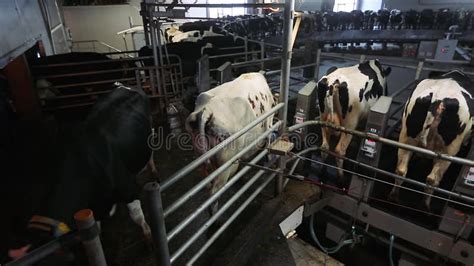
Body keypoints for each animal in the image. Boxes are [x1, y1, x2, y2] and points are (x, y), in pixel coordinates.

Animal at [6, 84, 157, 262]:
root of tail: (124, 86)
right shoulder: (91, 209)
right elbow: (96, 230)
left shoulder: (128, 189)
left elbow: (137, 216)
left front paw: (149, 239)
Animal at [185, 72, 274, 214]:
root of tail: (206, 111)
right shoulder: (269, 123)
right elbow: (268, 145)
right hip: (225, 163)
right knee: (214, 193)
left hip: (202, 159)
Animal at [388, 70, 474, 210]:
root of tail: (437, 99)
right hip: (447, 152)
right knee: (432, 179)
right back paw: (425, 206)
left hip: (406, 138)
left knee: (401, 170)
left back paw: (394, 197)